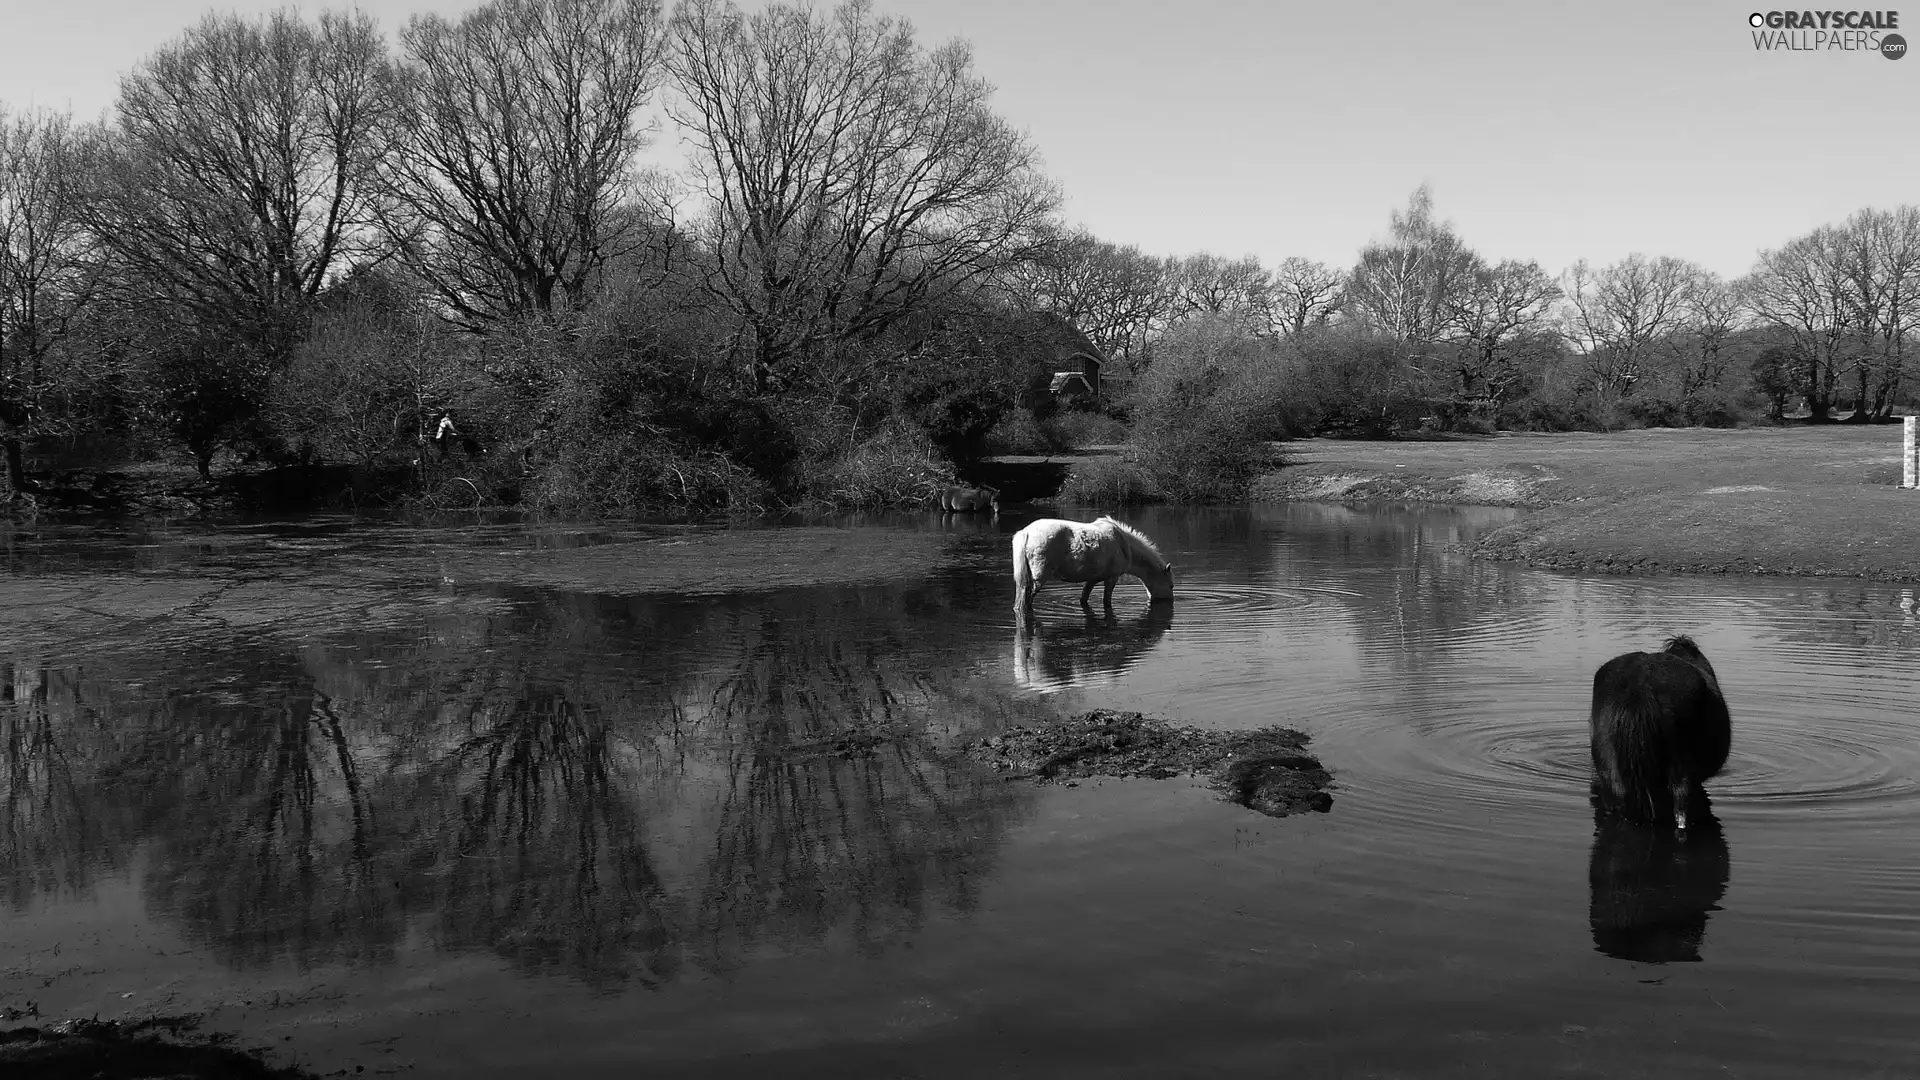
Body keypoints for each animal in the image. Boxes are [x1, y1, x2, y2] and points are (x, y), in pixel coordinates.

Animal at [1013, 515, 1175, 611]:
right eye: (1171, 585)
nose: (1171, 602)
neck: (1124, 545)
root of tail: (1026, 533)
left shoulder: (1092, 579)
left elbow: (1083, 598)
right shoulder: (1112, 578)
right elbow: (1106, 601)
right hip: (1039, 578)